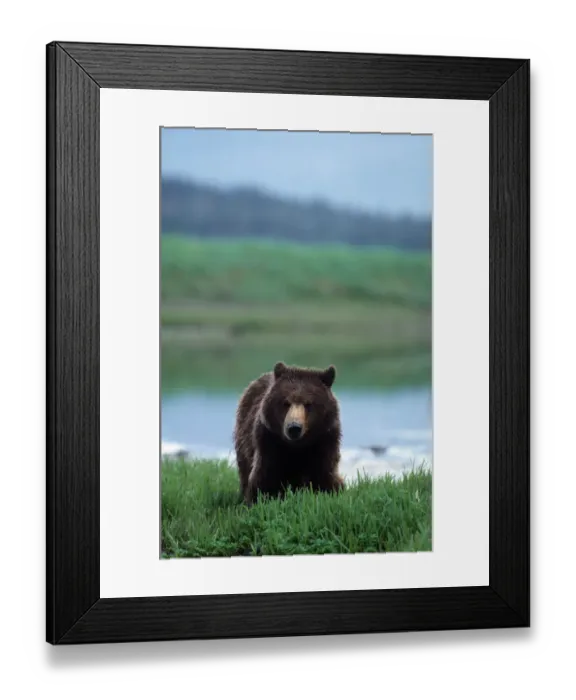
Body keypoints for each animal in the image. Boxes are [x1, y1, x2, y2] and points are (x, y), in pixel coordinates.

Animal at [233, 361, 345, 505]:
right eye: (286, 403)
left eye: (308, 404)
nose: (294, 427)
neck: (296, 447)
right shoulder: (270, 443)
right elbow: (264, 478)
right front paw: (259, 498)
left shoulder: (324, 441)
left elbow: (325, 476)